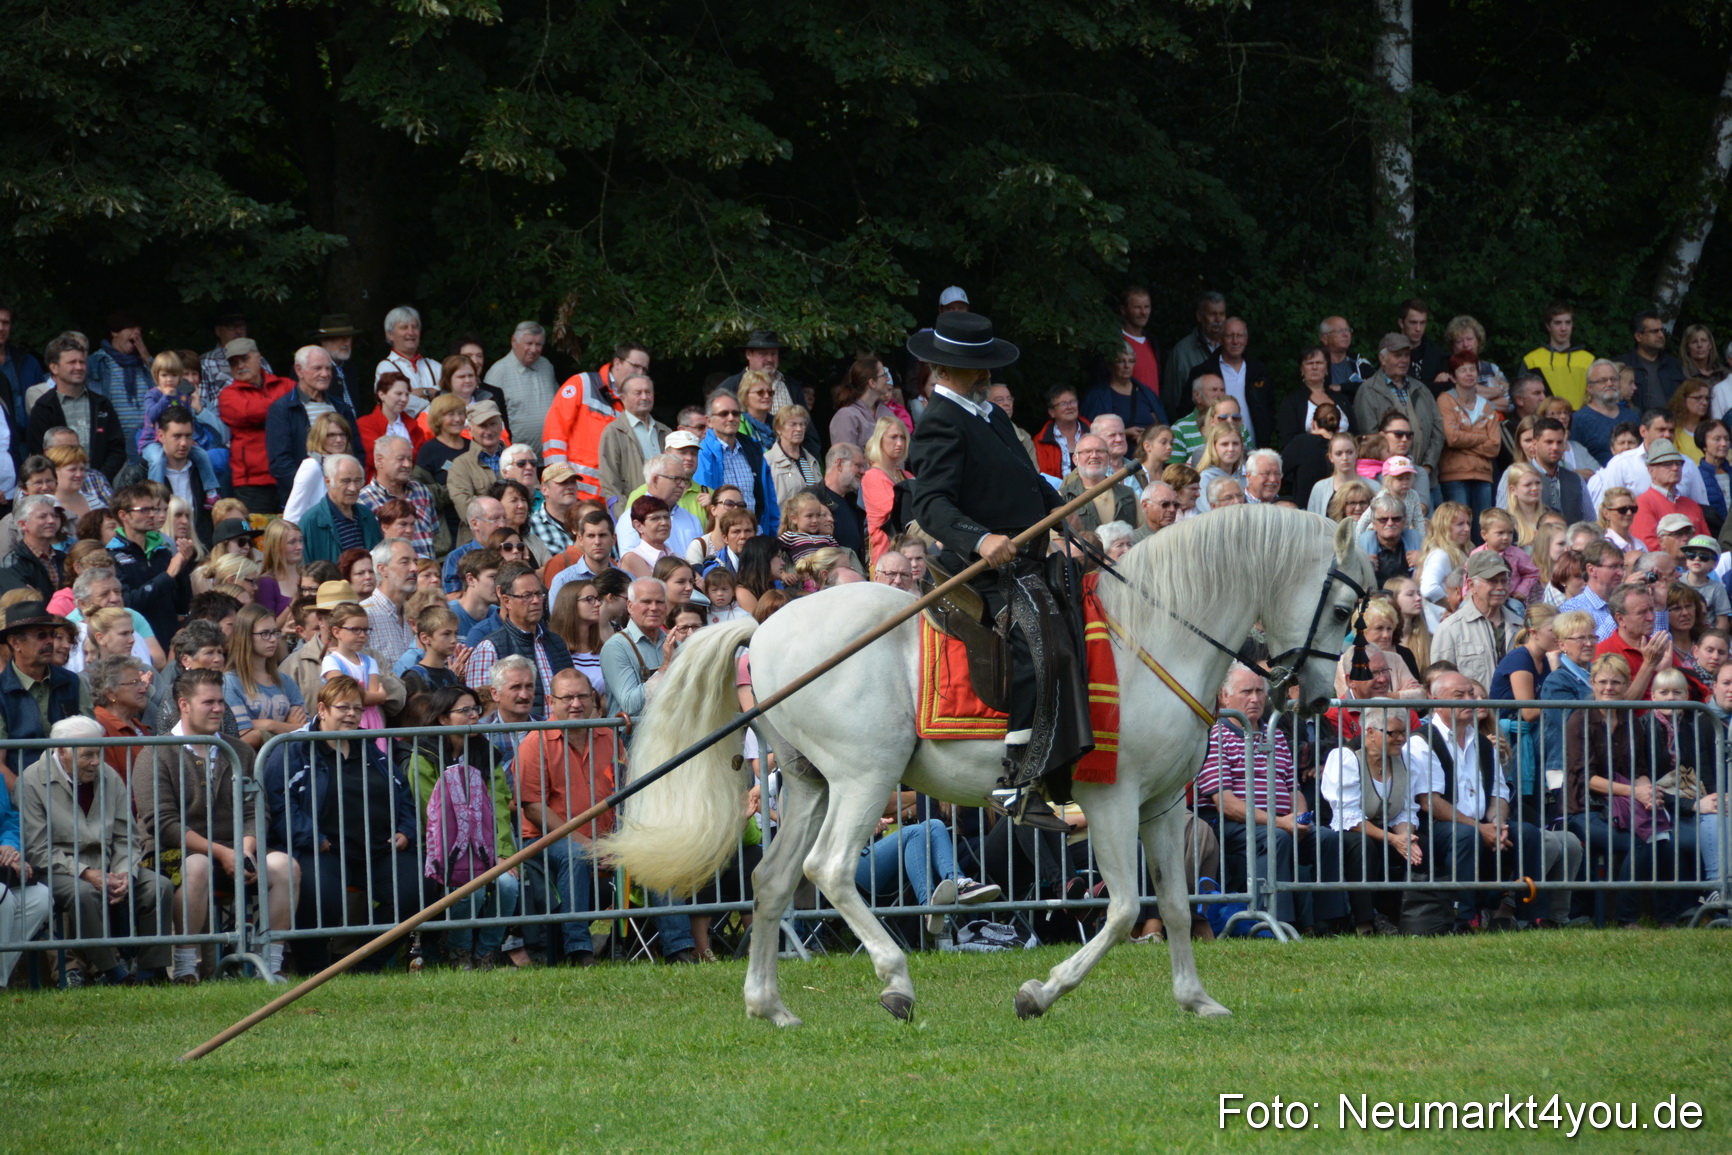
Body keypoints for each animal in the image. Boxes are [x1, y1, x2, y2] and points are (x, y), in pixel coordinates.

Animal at [598, 505, 1371, 1026]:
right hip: (864, 776)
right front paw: (1040, 991)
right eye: (1341, 609)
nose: (1317, 697)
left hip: (813, 783)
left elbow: (1176, 907)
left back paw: (770, 1006)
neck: (1157, 636)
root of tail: (761, 629)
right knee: (831, 869)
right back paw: (896, 980)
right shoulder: (1112, 798)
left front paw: (1197, 998)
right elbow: (1124, 910)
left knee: (772, 880)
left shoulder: (1163, 804)